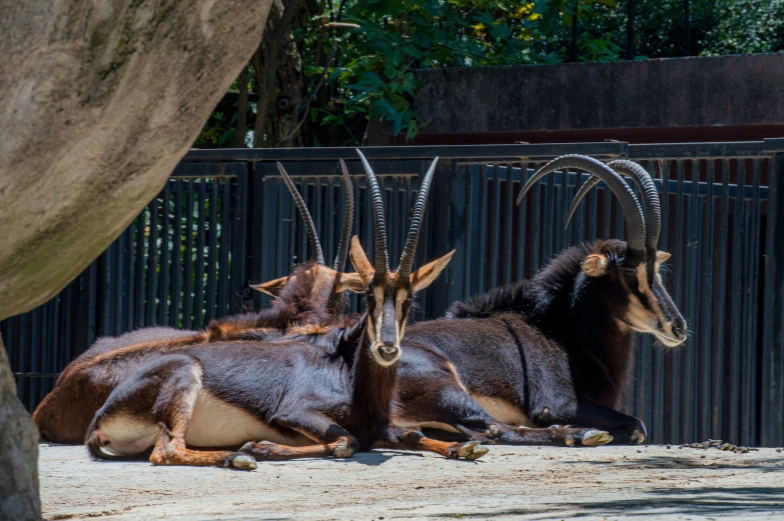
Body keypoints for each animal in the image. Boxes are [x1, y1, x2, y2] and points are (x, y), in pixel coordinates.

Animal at [82, 149, 486, 468]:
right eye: (369, 296)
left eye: (408, 299)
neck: (345, 368)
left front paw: (465, 448)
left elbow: (412, 435)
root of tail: (97, 421)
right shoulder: (295, 411)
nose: (386, 349)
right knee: (166, 451)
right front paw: (262, 446)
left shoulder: (382, 425)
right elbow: (347, 441)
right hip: (183, 381)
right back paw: (239, 455)